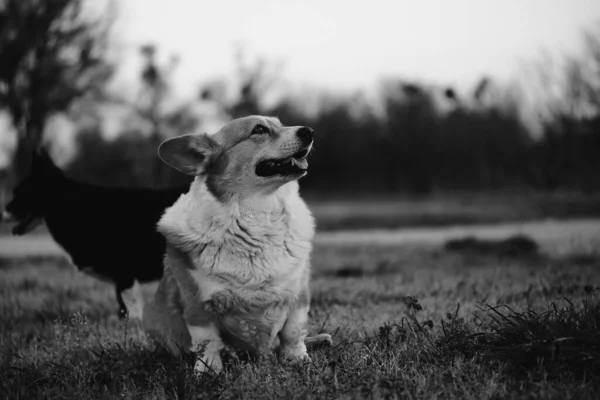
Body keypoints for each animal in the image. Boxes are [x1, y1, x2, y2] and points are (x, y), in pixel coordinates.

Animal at [145, 116, 332, 376]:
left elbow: (293, 334)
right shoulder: (198, 306)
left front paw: (298, 360)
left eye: (280, 123)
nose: (309, 131)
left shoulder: (298, 295)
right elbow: (209, 343)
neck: (257, 217)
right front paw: (208, 372)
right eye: (259, 129)